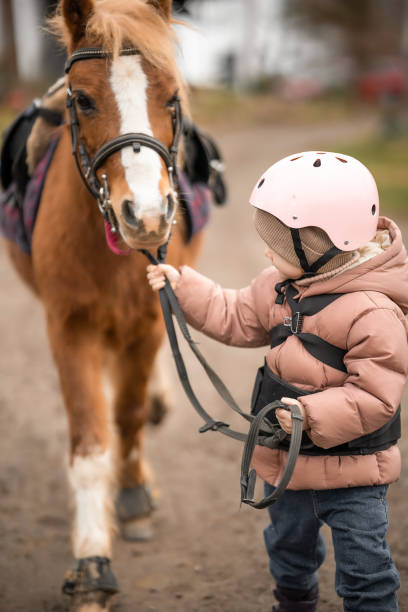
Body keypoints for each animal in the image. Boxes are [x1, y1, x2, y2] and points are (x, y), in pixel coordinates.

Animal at [4, 2, 204, 608]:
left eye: (172, 98)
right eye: (84, 99)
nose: (147, 215)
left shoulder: (147, 322)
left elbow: (130, 414)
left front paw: (134, 496)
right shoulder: (69, 328)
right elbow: (91, 445)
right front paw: (92, 565)